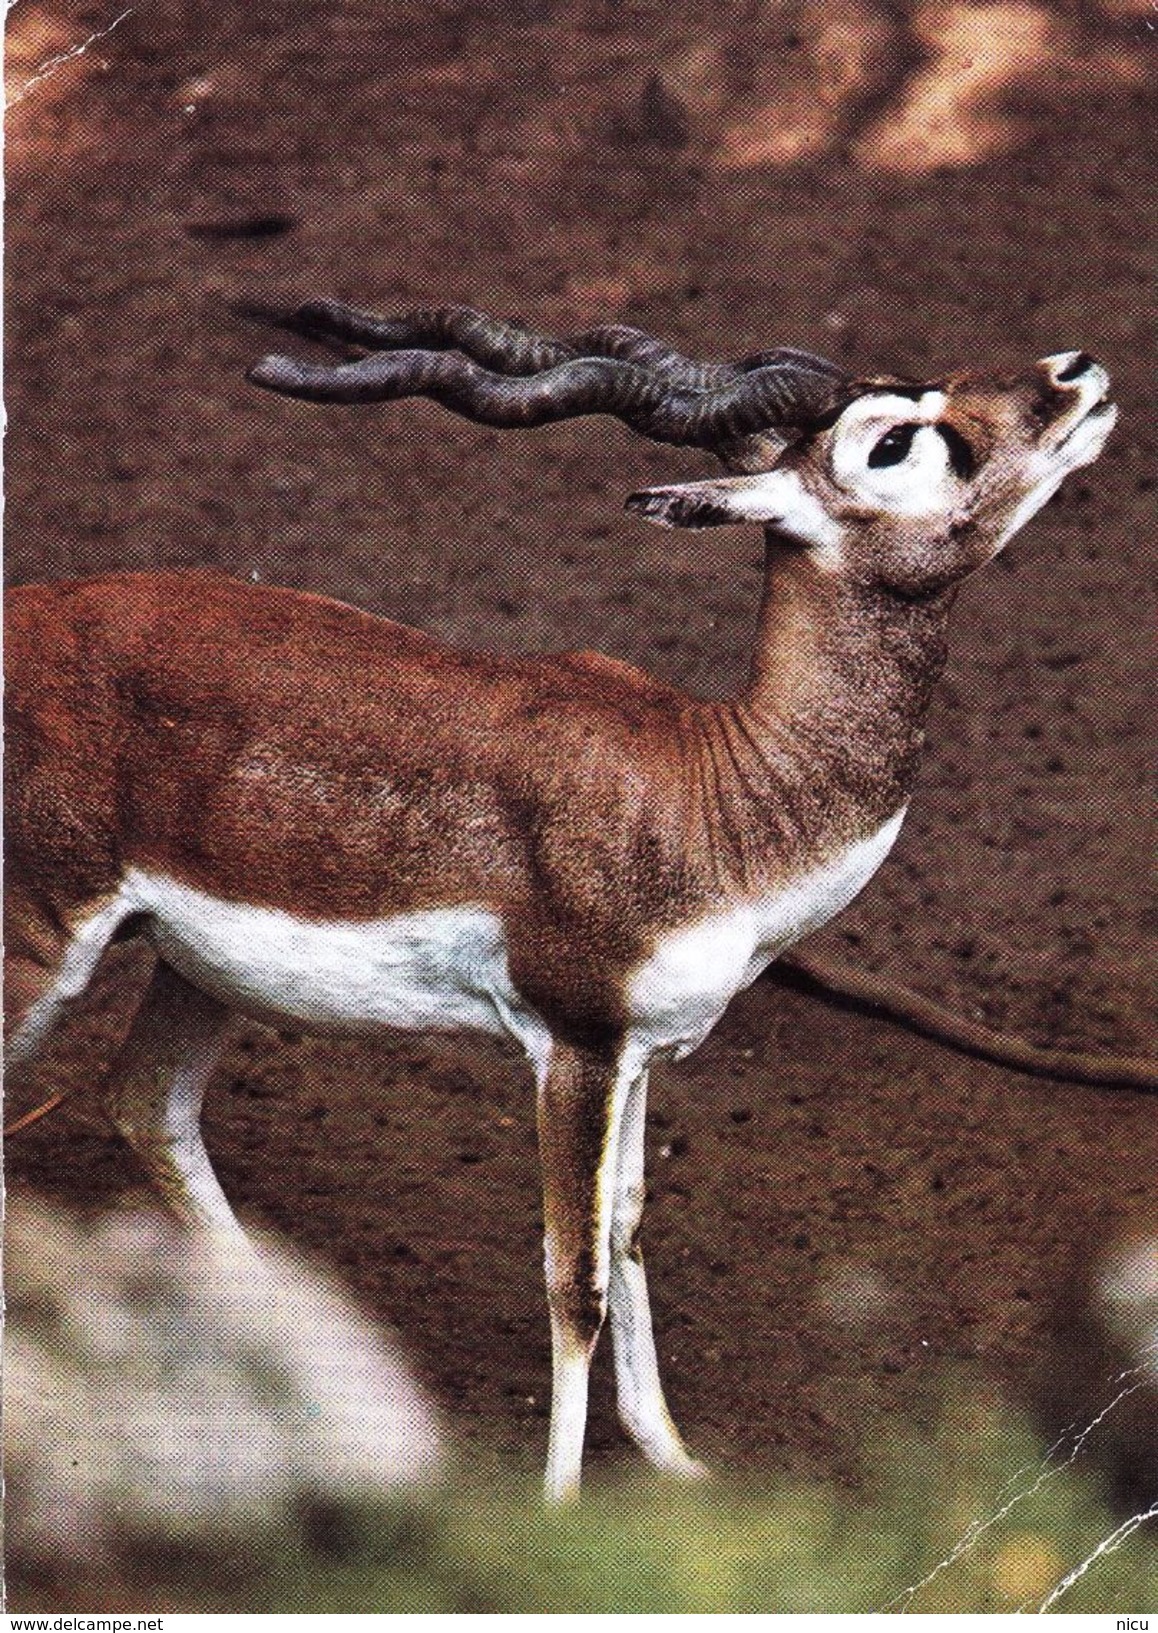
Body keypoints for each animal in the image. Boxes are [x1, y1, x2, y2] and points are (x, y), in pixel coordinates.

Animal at [2, 300, 1117, 1495]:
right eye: (895, 439)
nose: (1076, 370)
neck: (716, 786)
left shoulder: (646, 1051)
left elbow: (625, 1233)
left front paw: (678, 1463)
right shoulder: (573, 1047)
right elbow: (572, 1281)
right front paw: (560, 1505)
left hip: (202, 969)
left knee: (148, 1106)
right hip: (43, 952)